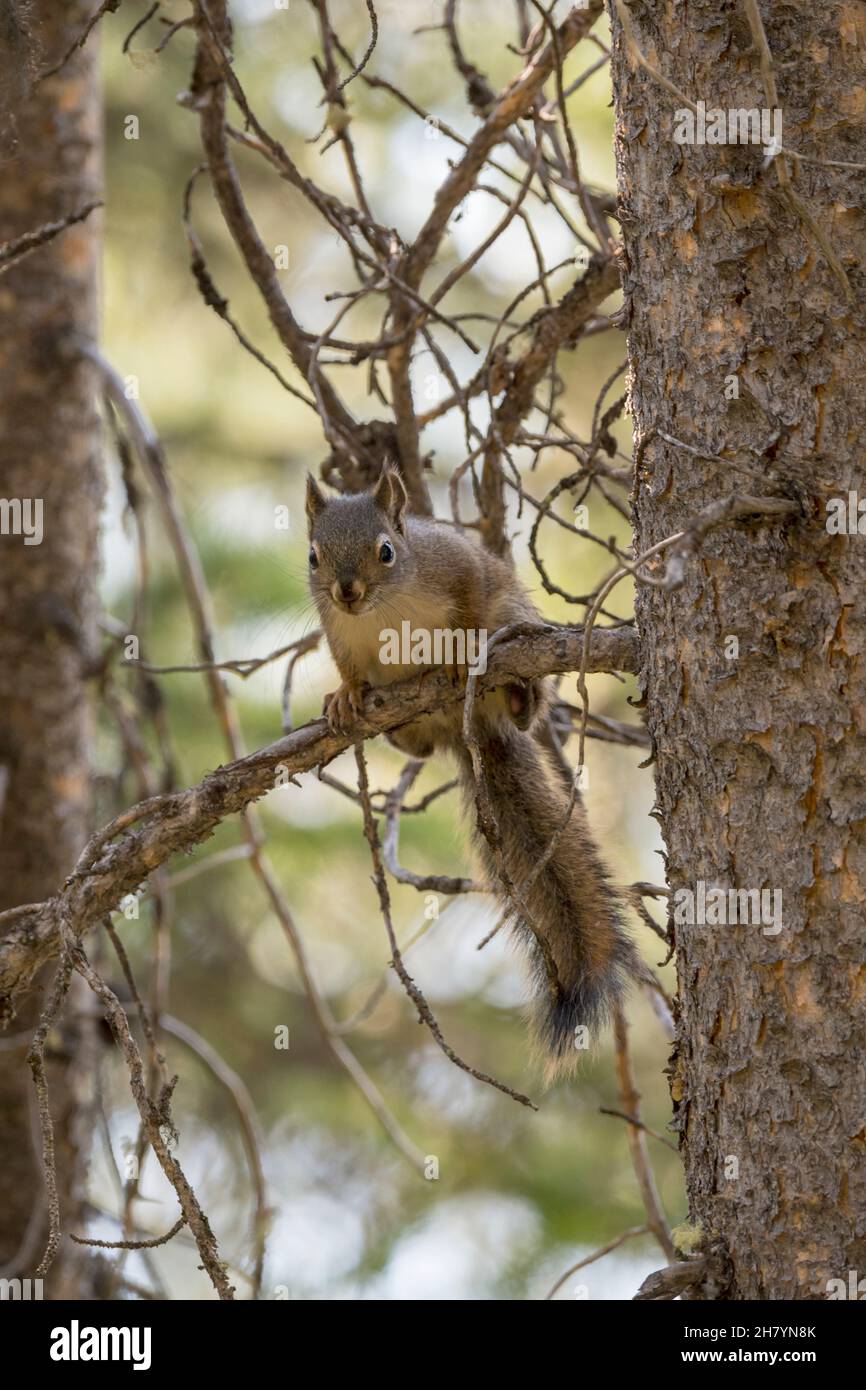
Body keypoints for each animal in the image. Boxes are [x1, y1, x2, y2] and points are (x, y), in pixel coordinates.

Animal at [306, 466, 638, 1077]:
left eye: (386, 551)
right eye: (314, 555)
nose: (347, 592)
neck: (382, 612)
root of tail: (473, 732)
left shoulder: (459, 570)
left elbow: (470, 602)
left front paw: (460, 658)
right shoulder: (339, 634)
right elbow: (349, 669)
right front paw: (344, 695)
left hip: (518, 625)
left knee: (523, 694)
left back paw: (517, 694)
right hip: (412, 726)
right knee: (415, 744)